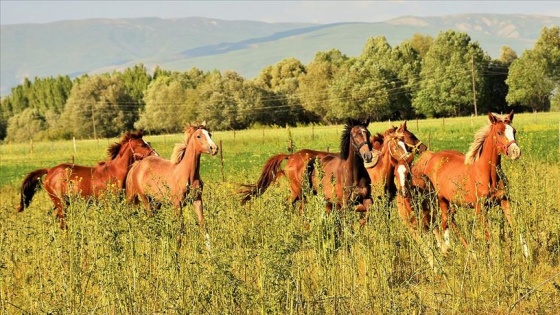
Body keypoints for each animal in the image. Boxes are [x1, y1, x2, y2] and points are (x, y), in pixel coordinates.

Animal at [17, 131, 158, 230]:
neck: (114, 172)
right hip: (60, 203)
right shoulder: (107, 204)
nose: (156, 155)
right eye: (142, 145)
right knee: (63, 224)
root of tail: (49, 170)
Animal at [402, 111, 520, 254]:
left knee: (448, 221)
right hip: (441, 199)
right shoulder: (480, 208)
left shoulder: (504, 200)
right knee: (445, 221)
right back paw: (452, 248)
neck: (487, 174)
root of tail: (431, 156)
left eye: (514, 131)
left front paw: (527, 255)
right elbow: (488, 236)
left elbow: (516, 226)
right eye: (499, 132)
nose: (515, 152)